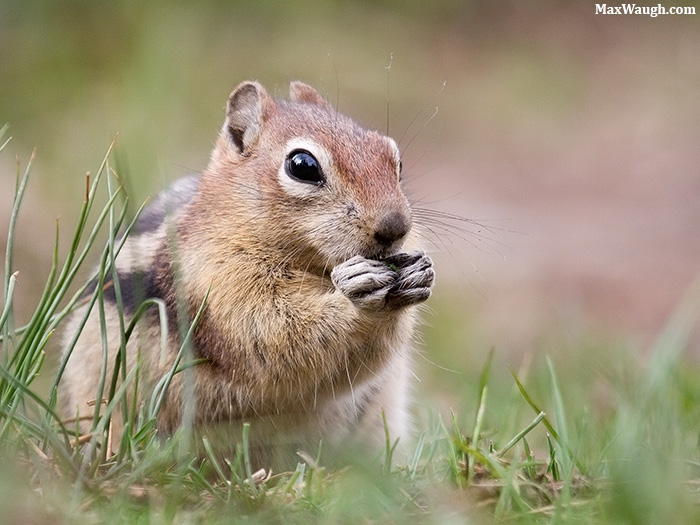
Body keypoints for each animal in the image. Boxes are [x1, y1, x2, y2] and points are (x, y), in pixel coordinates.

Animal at [60, 80, 435, 464]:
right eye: (302, 165)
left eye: (394, 159)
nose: (395, 227)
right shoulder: (218, 284)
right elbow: (274, 335)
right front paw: (356, 295)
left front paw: (418, 276)